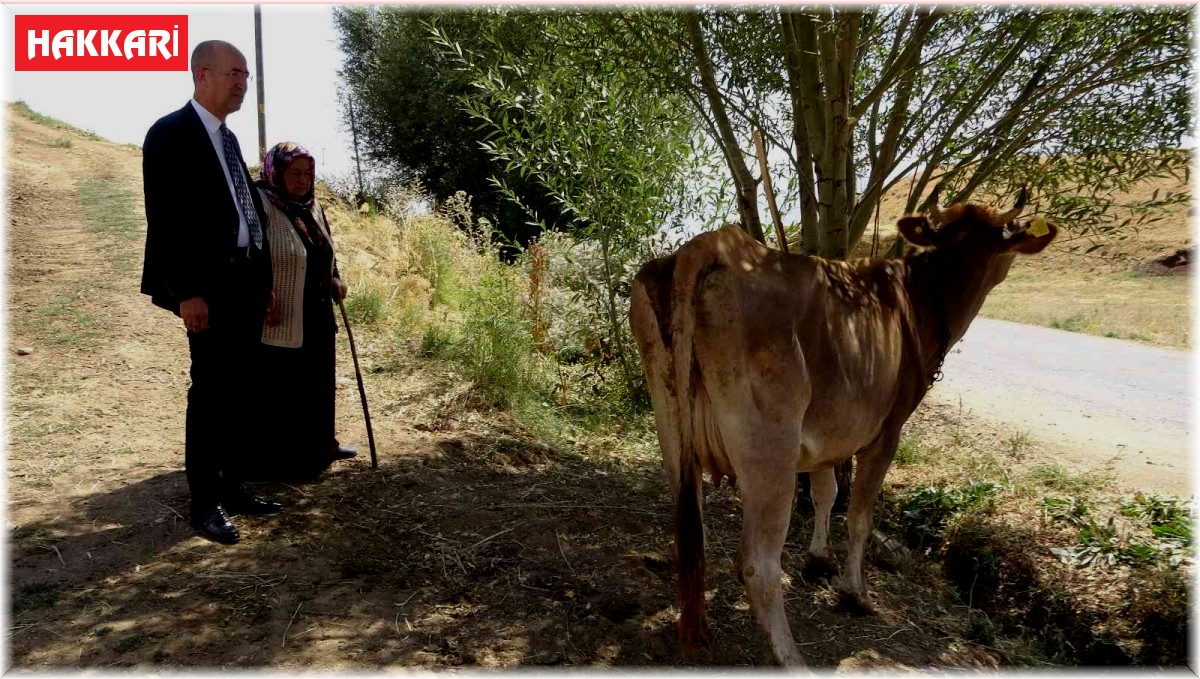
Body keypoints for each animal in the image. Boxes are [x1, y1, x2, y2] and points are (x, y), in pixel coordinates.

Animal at [628, 193, 1060, 671]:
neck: (918, 299)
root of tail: (710, 244)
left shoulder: (826, 435)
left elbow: (825, 491)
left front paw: (818, 559)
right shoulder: (886, 432)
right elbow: (858, 516)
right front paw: (856, 593)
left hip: (671, 420)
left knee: (691, 530)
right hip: (770, 445)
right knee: (757, 563)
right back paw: (792, 657)